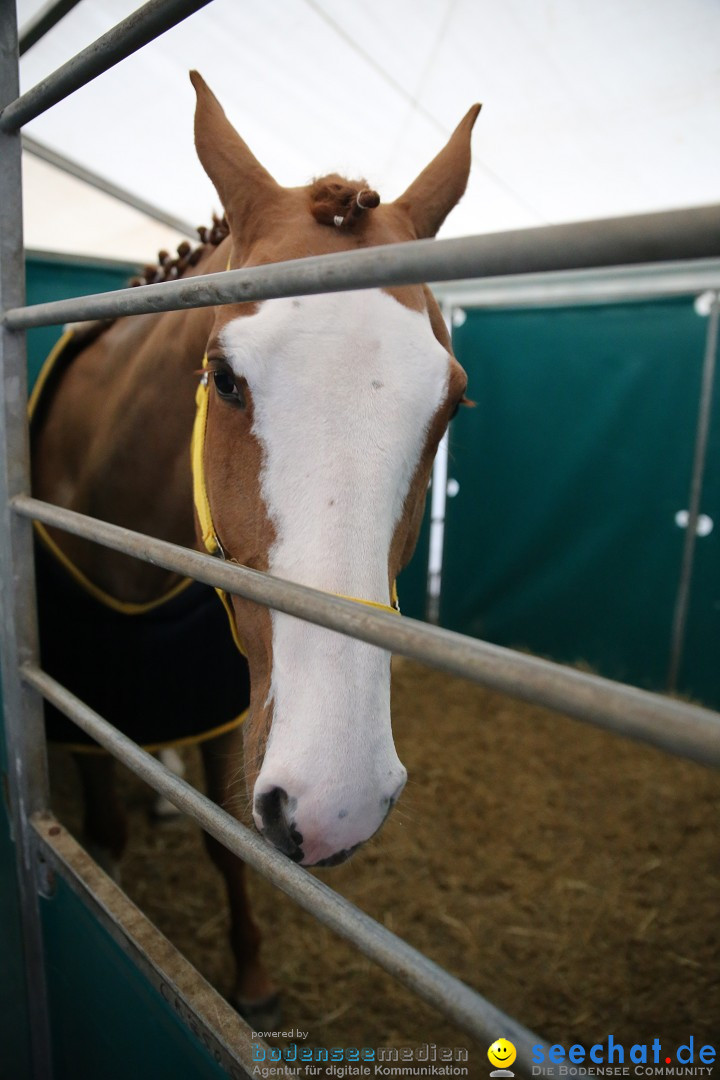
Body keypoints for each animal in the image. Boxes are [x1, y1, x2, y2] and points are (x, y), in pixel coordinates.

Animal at [29, 73, 479, 1019]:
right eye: (223, 377)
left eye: (451, 405)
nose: (336, 797)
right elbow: (105, 827)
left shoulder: (223, 694)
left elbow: (224, 836)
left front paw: (252, 980)